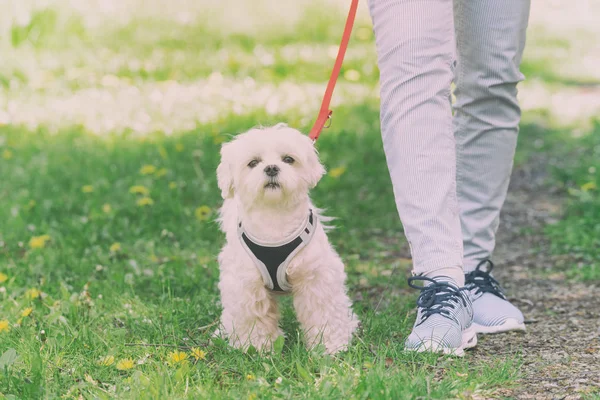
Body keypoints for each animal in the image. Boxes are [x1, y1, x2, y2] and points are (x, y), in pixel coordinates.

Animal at [214, 124, 358, 354]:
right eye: (253, 163)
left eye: (288, 159)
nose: (272, 168)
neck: (275, 220)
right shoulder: (246, 285)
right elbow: (254, 318)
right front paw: (257, 348)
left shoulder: (317, 278)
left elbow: (324, 314)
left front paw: (329, 347)